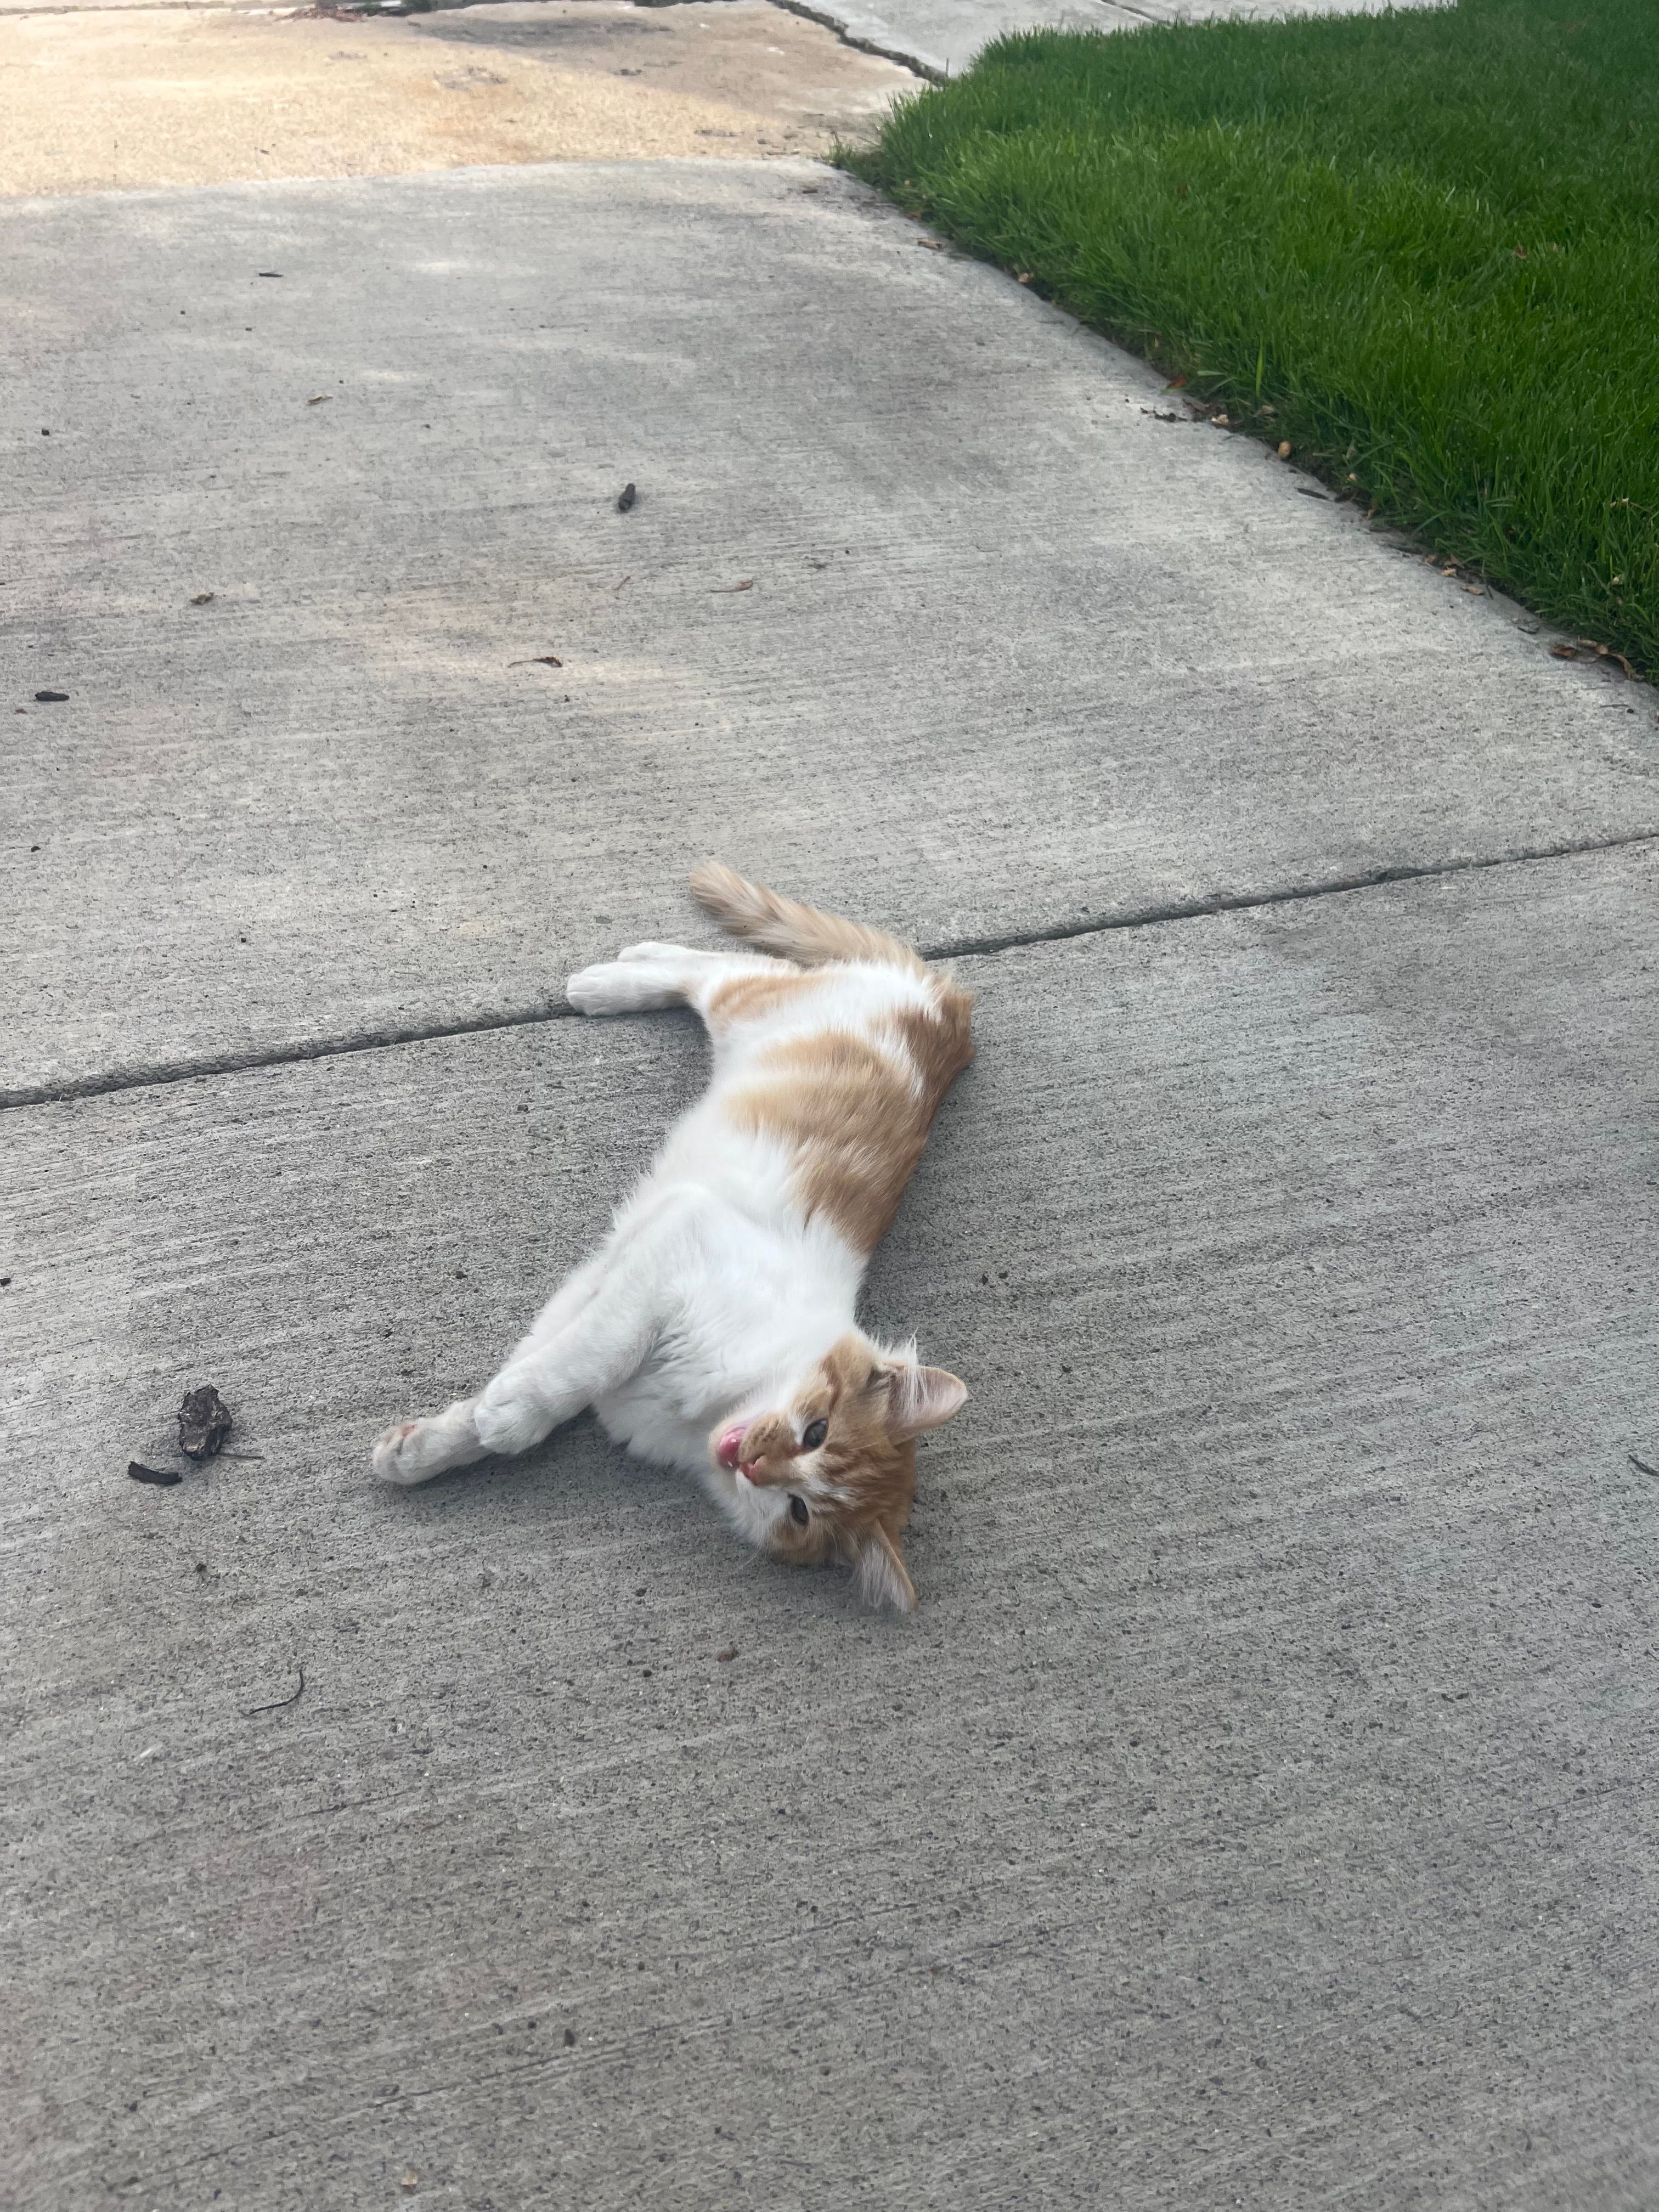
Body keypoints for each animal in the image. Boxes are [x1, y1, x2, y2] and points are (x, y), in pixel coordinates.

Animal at [371, 866, 973, 1612]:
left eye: (800, 1510)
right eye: (816, 1431)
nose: (752, 1463)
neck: (709, 1409)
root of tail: (947, 1006)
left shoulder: (622, 1275)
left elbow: (548, 1351)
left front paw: (429, 1445)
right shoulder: (681, 1244)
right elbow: (582, 1362)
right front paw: (499, 1420)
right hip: (751, 1006)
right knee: (721, 966)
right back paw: (610, 977)